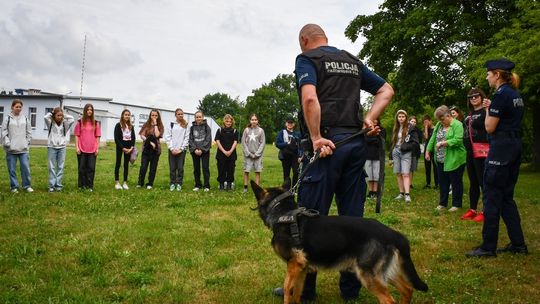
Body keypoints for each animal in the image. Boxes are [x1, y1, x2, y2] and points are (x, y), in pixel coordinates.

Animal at [251, 182, 428, 302]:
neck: (284, 213)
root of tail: (392, 233)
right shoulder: (301, 269)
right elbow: (296, 294)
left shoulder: (294, 266)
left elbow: (288, 291)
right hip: (384, 273)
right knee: (408, 289)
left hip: (369, 275)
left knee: (391, 299)